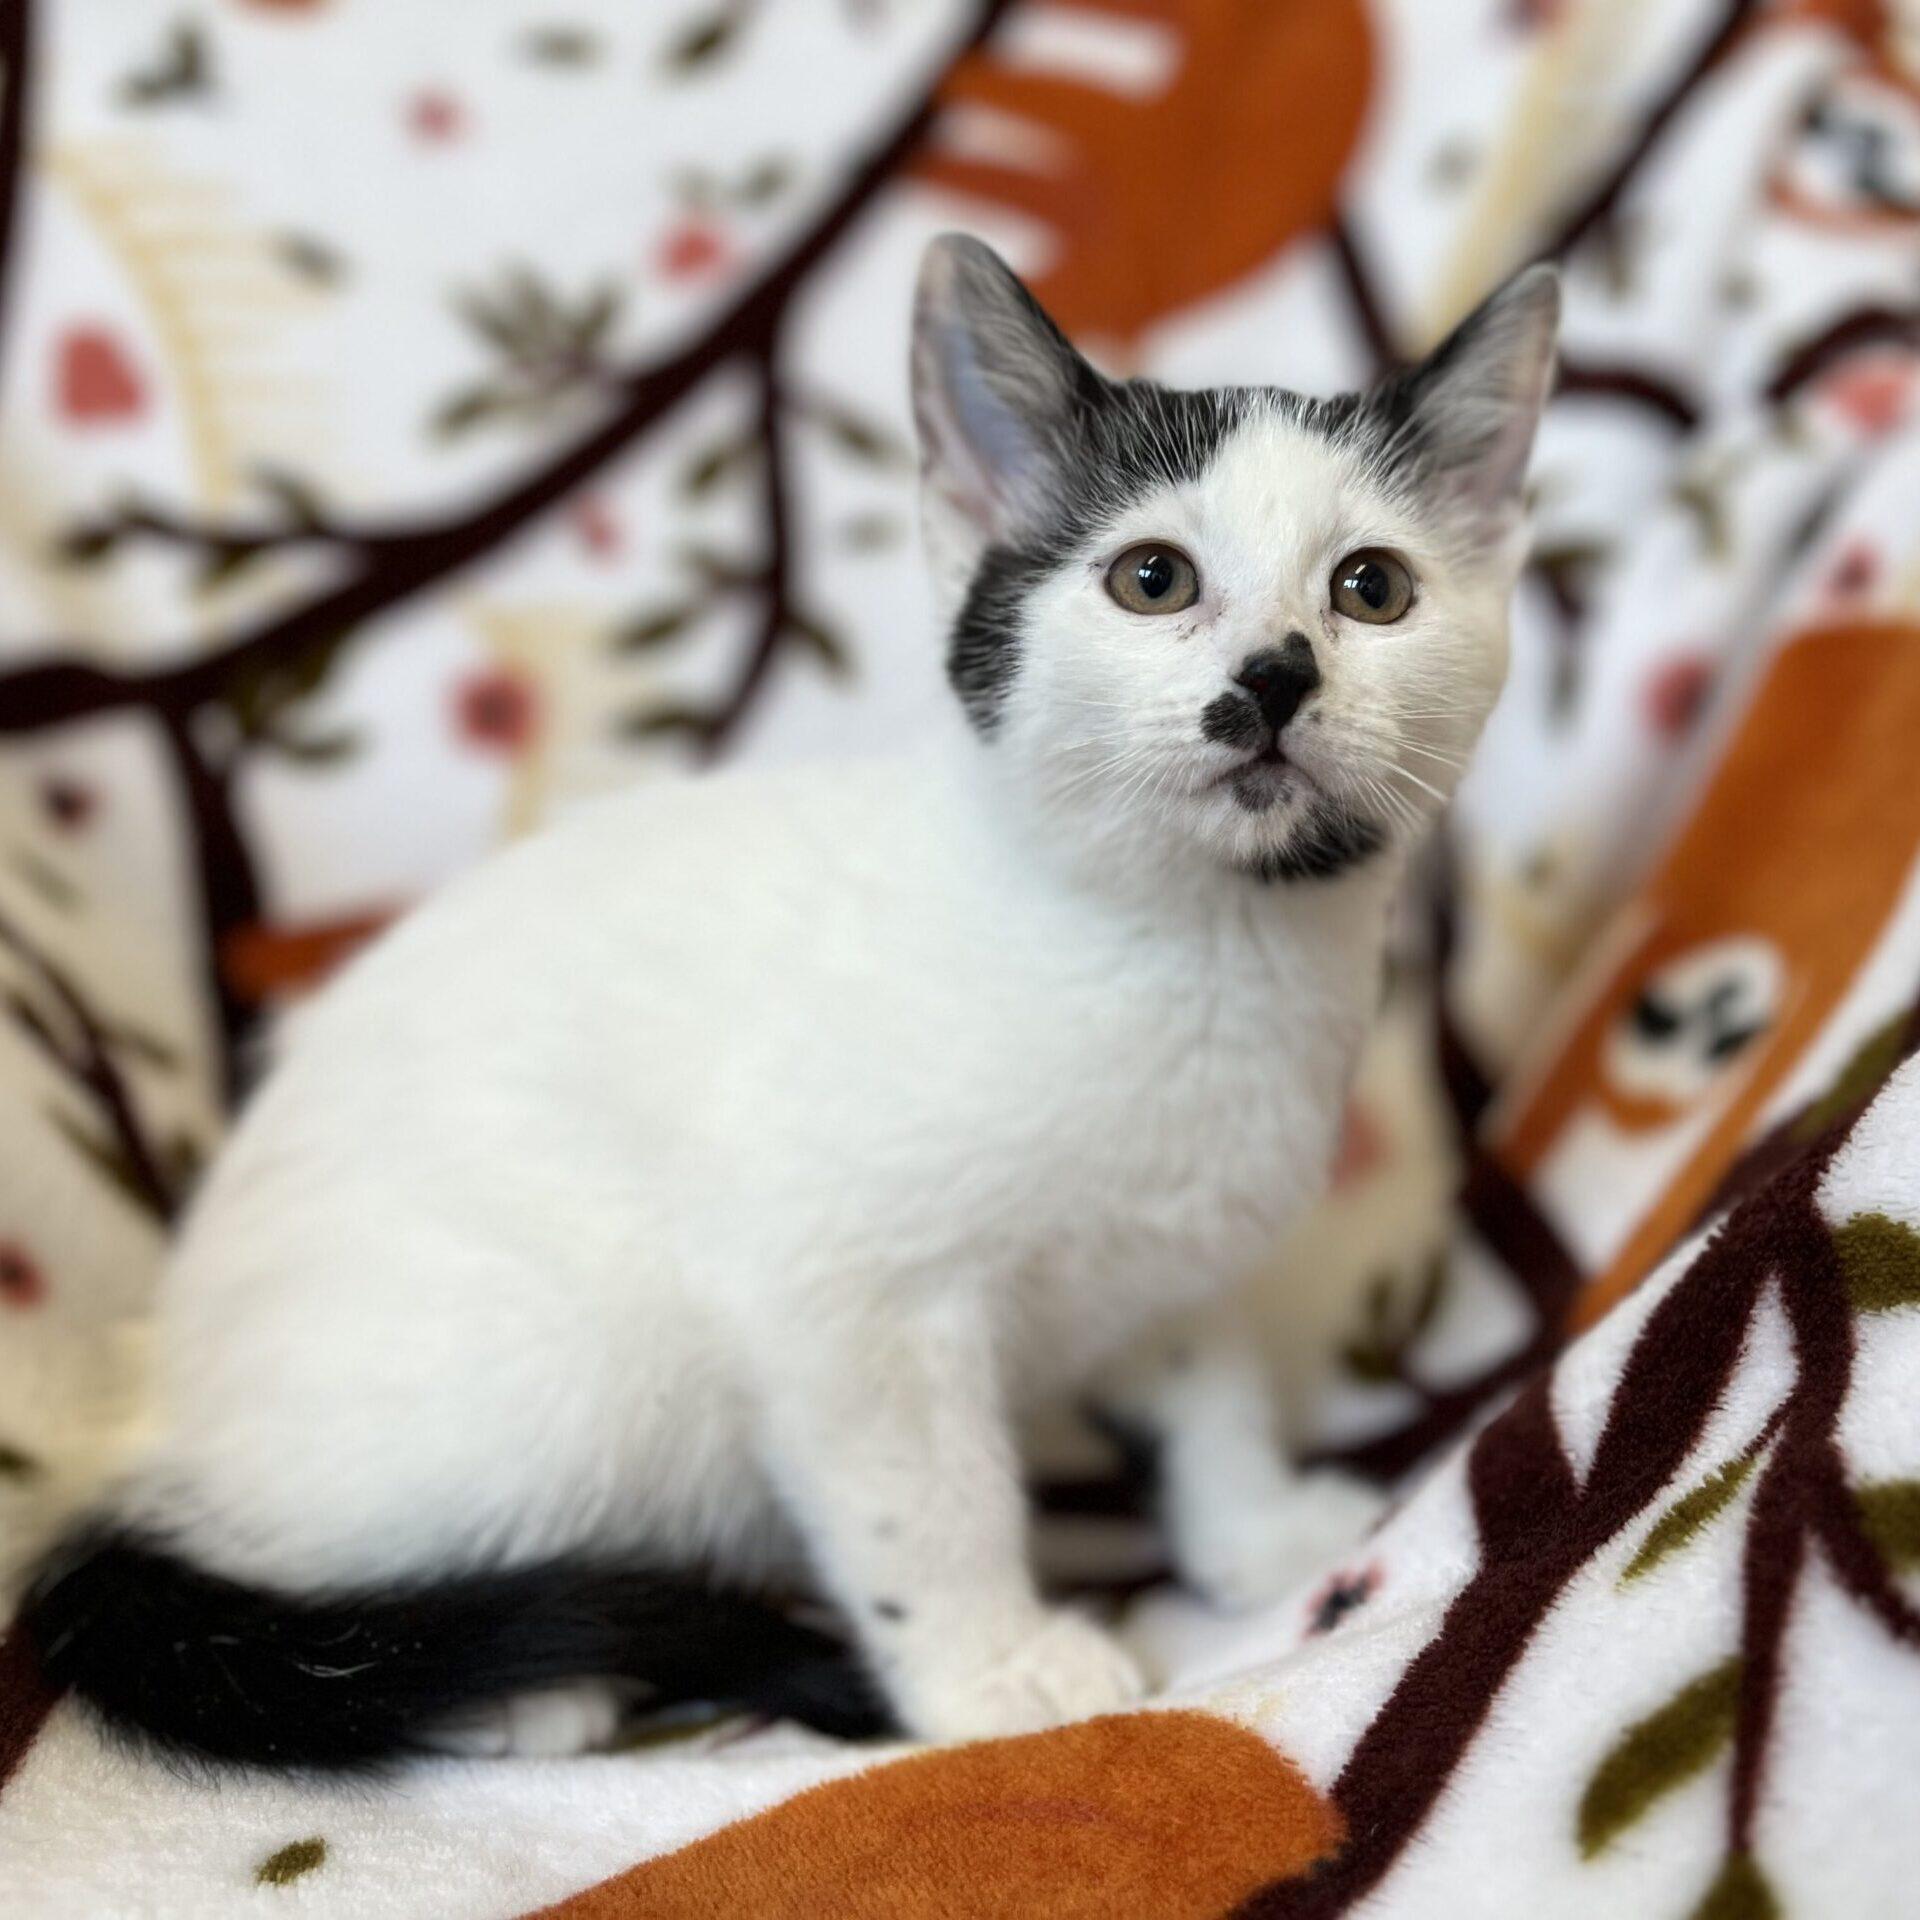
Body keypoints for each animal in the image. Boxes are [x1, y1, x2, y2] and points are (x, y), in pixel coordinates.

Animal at [22, 236, 1558, 1766]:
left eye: (1371, 589)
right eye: (1152, 577)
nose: (1277, 674)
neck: (1201, 943)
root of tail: (149, 1418)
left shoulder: (1182, 1251)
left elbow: (1208, 1381)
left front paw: (1256, 1530)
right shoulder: (838, 1288)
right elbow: (921, 1496)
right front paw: (993, 1672)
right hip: (564, 1371)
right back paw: (521, 1685)